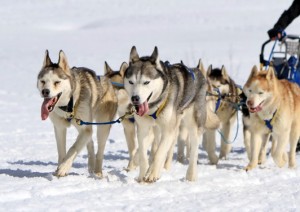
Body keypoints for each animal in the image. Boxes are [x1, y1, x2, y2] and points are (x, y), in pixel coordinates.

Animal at [123, 46, 219, 182]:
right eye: (131, 82)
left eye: (146, 82)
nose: (135, 98)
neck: (154, 107)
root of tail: (198, 72)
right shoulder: (143, 129)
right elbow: (142, 154)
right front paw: (142, 175)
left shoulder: (169, 130)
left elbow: (160, 153)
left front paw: (152, 174)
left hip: (193, 125)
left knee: (193, 150)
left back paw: (190, 175)